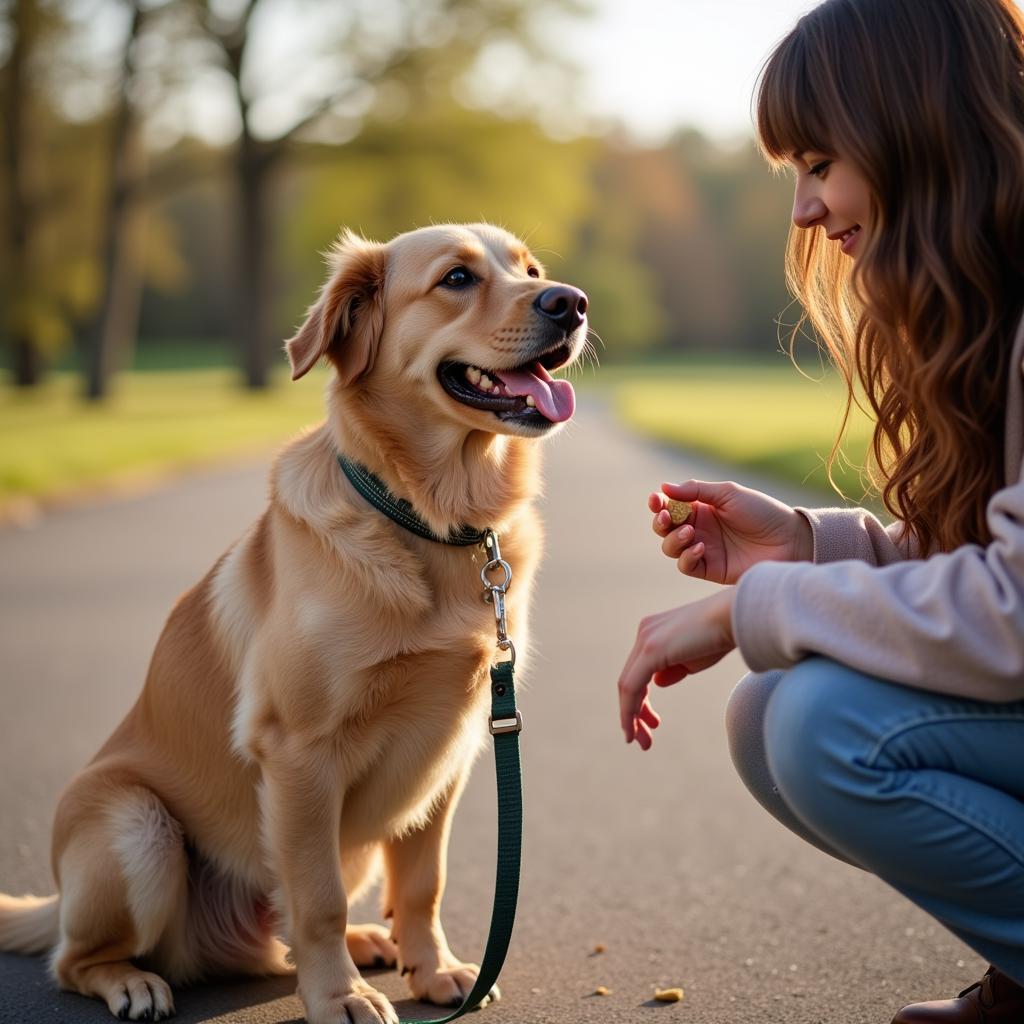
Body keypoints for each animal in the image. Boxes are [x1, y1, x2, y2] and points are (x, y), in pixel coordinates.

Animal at [0, 226, 585, 1024]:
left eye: (532, 269)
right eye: (457, 278)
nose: (572, 302)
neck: (429, 524)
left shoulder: (456, 747)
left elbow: (421, 884)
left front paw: (433, 968)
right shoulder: (299, 754)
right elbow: (317, 899)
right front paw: (339, 996)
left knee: (275, 939)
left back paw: (373, 943)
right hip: (137, 827)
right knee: (75, 960)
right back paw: (131, 981)